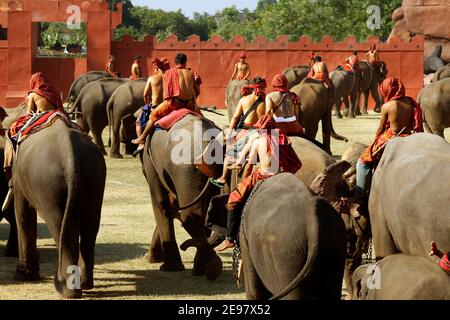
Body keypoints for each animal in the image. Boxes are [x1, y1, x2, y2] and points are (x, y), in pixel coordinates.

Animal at [11, 119, 106, 298]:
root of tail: (69, 155)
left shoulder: (19, 176)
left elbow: (22, 213)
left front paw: (23, 275)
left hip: (46, 184)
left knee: (58, 225)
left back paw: (66, 289)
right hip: (94, 177)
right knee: (89, 226)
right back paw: (85, 283)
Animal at [142, 115, 223, 280]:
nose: (183, 246)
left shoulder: (151, 163)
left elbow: (160, 204)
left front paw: (166, 266)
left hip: (185, 170)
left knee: (190, 216)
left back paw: (212, 267)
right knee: (205, 215)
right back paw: (203, 269)